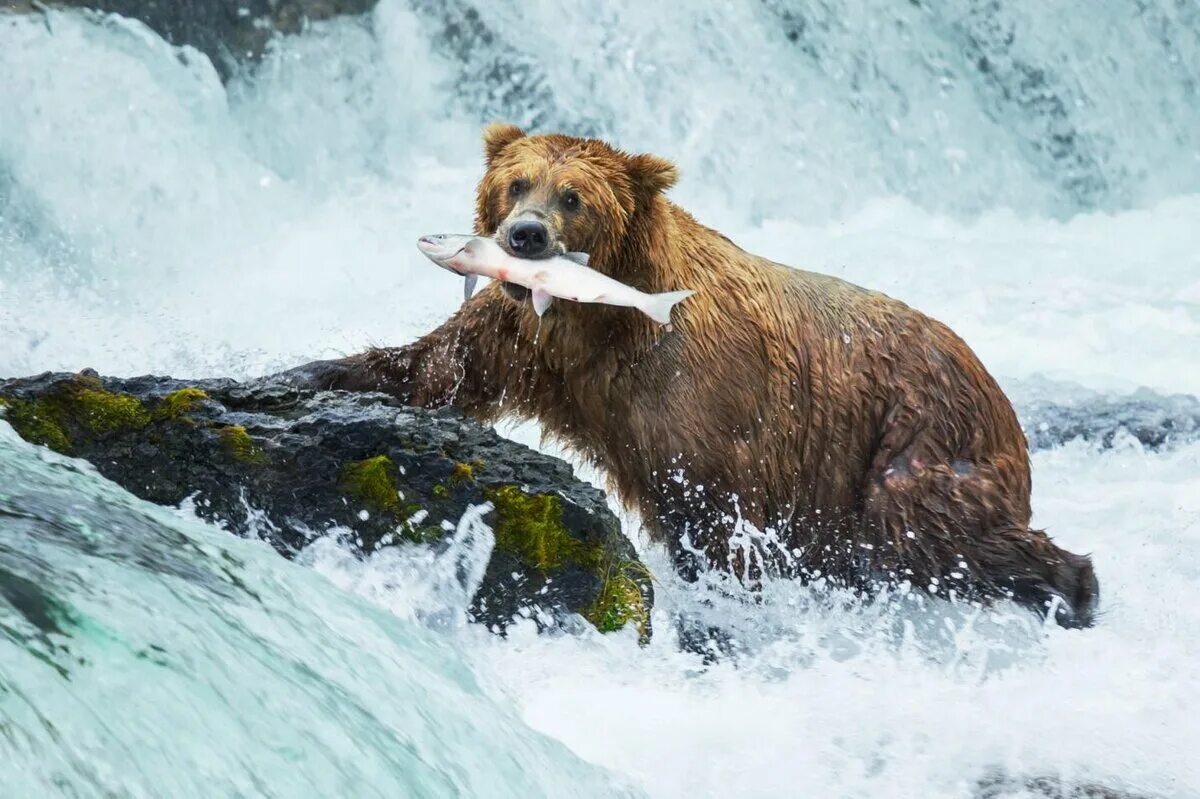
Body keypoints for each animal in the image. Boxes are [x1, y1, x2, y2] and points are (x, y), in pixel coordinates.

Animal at [278, 122, 1099, 623]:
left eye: (572, 196)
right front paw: (300, 375)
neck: (601, 317)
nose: (525, 236)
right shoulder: (526, 340)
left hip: (912, 435)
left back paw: (1073, 585)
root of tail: (994, 386)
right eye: (516, 183)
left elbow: (712, 507)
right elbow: (433, 368)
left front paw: (724, 601)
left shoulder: (701, 392)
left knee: (928, 530)